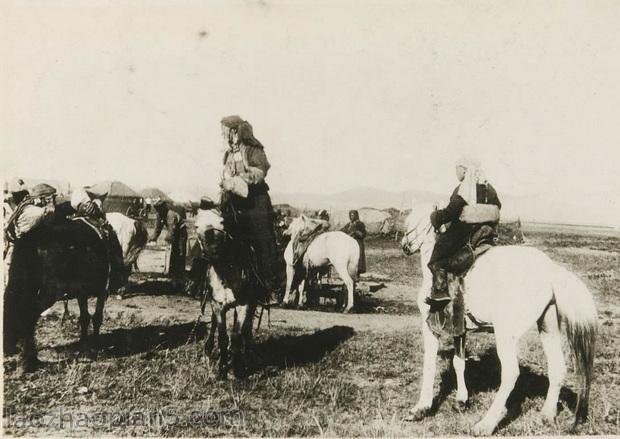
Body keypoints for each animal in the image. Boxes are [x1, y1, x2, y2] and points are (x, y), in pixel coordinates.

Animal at [400, 206, 600, 436]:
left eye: (415, 219)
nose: (405, 245)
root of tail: (551, 270)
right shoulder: (460, 329)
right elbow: (459, 362)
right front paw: (461, 400)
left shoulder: (430, 326)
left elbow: (429, 365)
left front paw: (421, 408)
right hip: (547, 326)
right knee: (557, 367)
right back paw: (547, 415)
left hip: (505, 332)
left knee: (511, 373)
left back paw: (486, 424)